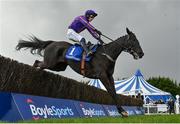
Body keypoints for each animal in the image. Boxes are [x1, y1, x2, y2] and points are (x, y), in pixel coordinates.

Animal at [16, 27, 144, 116]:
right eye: (133, 40)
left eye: (138, 40)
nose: (141, 53)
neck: (106, 54)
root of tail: (52, 42)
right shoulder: (102, 75)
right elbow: (111, 92)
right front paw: (122, 111)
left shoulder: (109, 76)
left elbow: (115, 92)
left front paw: (122, 111)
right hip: (50, 62)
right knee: (37, 62)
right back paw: (32, 74)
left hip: (58, 67)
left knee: (40, 65)